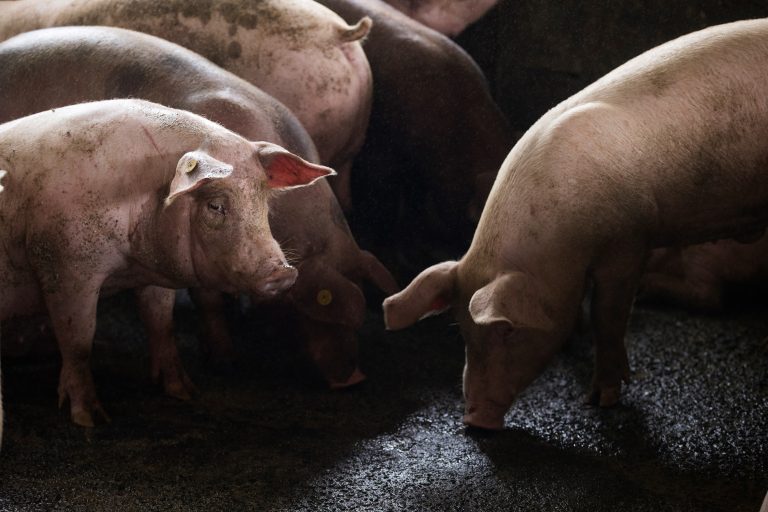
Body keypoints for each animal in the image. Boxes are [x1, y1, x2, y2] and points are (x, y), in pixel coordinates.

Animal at [0, 99, 333, 427]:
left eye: (262, 202)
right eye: (215, 205)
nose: (283, 273)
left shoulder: (151, 274)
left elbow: (162, 323)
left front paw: (185, 392)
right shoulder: (65, 266)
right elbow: (78, 341)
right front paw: (90, 420)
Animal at [384, 19, 768, 430]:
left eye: (508, 330)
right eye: (463, 332)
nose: (474, 420)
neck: (561, 242)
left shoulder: (628, 242)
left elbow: (609, 315)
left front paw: (601, 399)